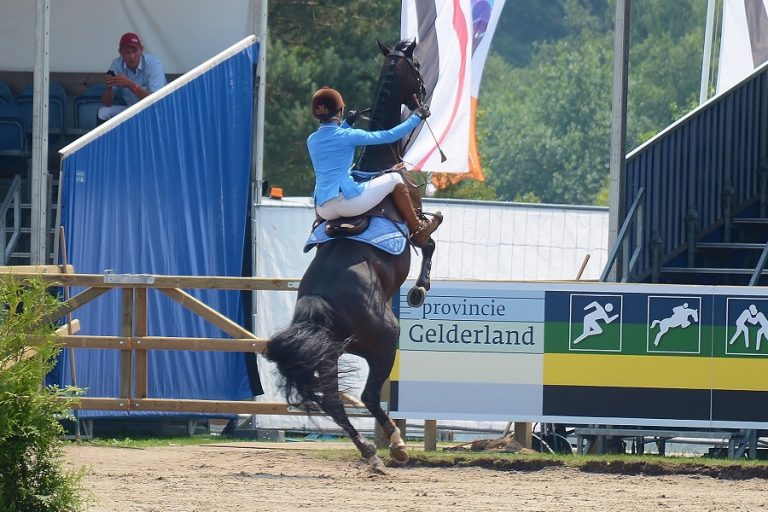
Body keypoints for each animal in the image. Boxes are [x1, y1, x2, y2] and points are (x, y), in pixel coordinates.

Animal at [265, 39, 437, 473]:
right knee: (370, 396)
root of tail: (317, 304)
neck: (379, 162)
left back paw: (371, 452)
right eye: (417, 66)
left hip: (329, 353)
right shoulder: (413, 216)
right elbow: (428, 241)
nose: (425, 93)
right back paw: (395, 445)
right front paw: (419, 290)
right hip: (384, 341)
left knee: (333, 401)